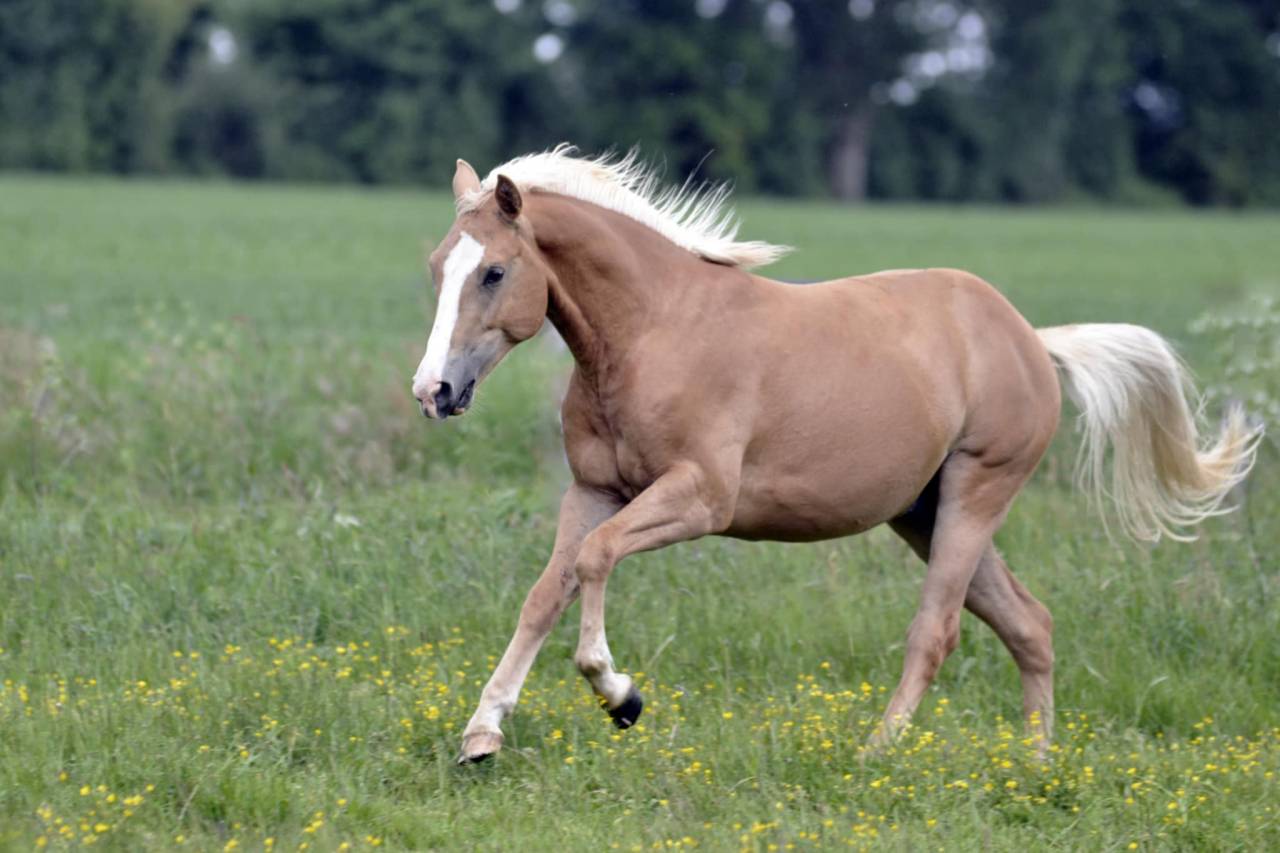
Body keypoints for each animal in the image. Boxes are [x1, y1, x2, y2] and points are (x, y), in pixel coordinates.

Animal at [410, 146, 1261, 764]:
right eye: (438, 268)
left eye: (494, 271)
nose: (434, 390)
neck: (656, 330)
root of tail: (1030, 338)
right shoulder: (594, 489)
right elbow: (545, 591)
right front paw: (482, 733)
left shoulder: (700, 496)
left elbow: (596, 559)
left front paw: (620, 695)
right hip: (923, 510)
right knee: (1031, 624)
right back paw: (1036, 763)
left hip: (978, 491)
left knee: (936, 631)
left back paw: (875, 753)